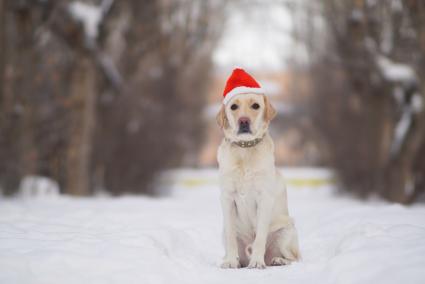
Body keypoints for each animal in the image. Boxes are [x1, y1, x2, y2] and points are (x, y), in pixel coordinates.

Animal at [215, 68, 298, 268]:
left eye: (255, 106)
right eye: (233, 107)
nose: (244, 121)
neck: (245, 152)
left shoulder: (264, 198)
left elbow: (260, 236)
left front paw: (257, 262)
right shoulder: (227, 198)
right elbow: (231, 236)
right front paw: (230, 262)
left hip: (286, 230)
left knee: (294, 258)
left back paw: (276, 260)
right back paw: (237, 261)